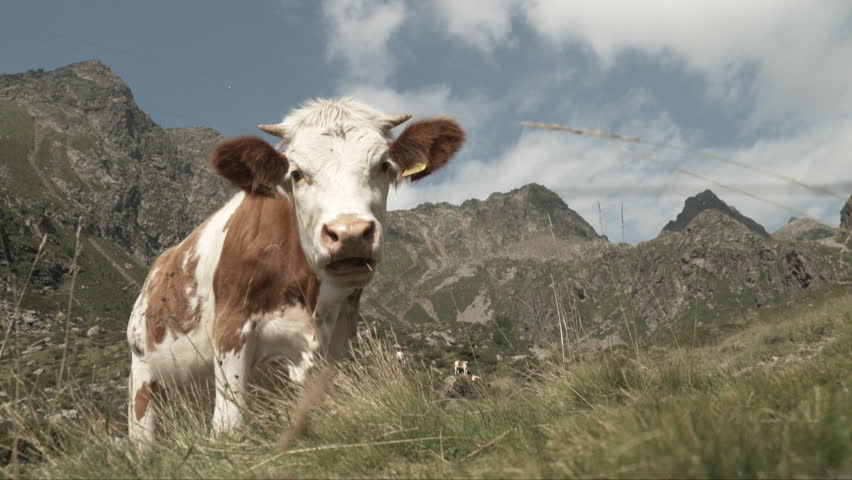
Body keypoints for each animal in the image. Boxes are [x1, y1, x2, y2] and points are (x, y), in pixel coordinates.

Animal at [126, 98, 464, 442]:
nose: (350, 233)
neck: (310, 296)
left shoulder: (333, 344)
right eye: (297, 174)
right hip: (143, 376)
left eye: (384, 165)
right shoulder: (231, 329)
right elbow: (229, 428)